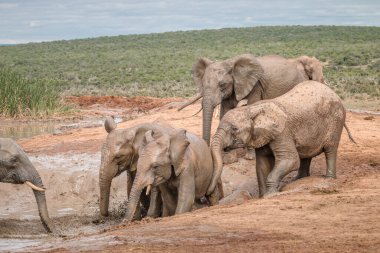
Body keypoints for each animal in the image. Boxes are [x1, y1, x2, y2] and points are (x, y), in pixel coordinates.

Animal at [178, 54, 324, 146]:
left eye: (222, 85)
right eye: (202, 84)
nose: (206, 147)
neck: (231, 62)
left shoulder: (255, 86)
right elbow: (225, 111)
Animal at [209, 81, 354, 198]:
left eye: (234, 129)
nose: (211, 193)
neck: (251, 109)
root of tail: (334, 93)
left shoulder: (282, 132)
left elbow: (290, 159)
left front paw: (270, 195)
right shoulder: (262, 135)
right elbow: (262, 165)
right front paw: (262, 196)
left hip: (336, 120)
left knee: (330, 149)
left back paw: (329, 179)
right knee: (306, 154)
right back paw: (298, 180)